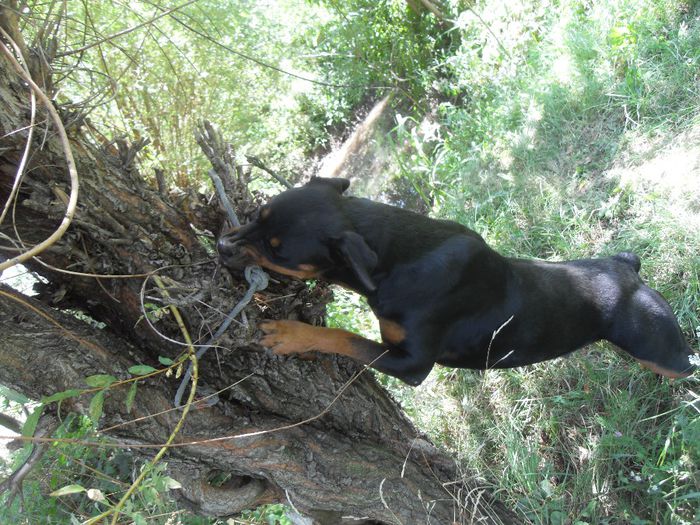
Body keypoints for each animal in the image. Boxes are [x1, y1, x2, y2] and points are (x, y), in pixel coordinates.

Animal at [217, 176, 696, 384]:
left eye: (278, 250)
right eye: (257, 212)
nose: (221, 245)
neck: (396, 259)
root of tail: (628, 268)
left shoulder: (412, 364)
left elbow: (344, 338)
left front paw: (288, 334)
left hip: (660, 348)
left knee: (682, 364)